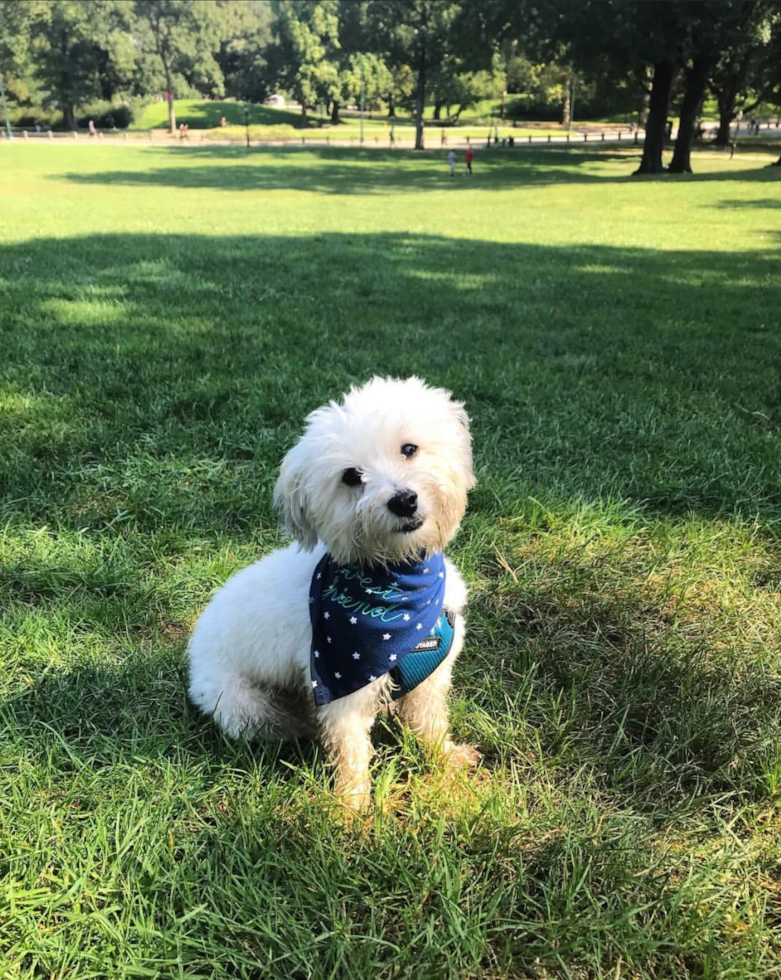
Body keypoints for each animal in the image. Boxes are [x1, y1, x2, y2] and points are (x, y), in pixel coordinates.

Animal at [190, 376, 482, 812]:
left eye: (408, 449)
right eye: (351, 476)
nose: (403, 500)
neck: (399, 585)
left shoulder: (432, 678)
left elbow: (430, 724)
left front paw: (446, 759)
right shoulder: (342, 687)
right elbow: (349, 750)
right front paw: (352, 805)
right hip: (245, 706)